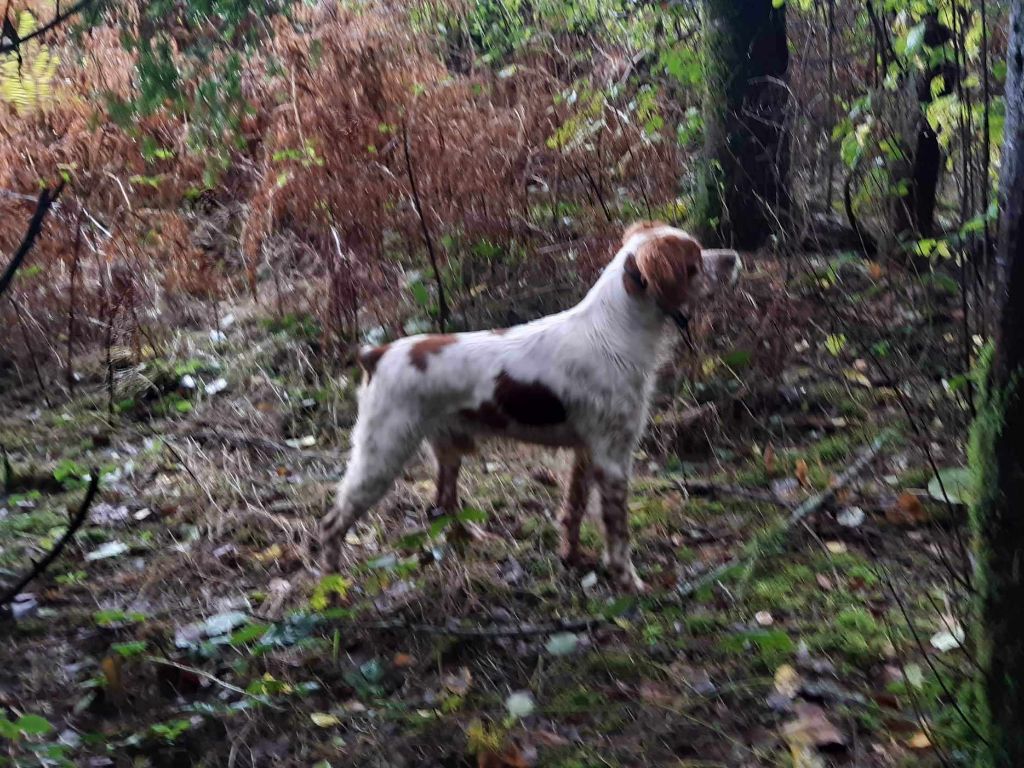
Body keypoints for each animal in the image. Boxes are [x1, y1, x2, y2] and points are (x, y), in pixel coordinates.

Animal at [321, 219, 745, 593]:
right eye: (694, 258)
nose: (734, 257)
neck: (614, 330)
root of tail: (376, 354)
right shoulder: (612, 458)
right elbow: (618, 533)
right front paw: (629, 582)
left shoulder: (586, 452)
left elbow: (573, 511)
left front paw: (572, 558)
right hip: (381, 456)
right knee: (332, 523)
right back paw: (333, 585)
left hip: (448, 449)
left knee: (442, 503)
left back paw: (472, 536)